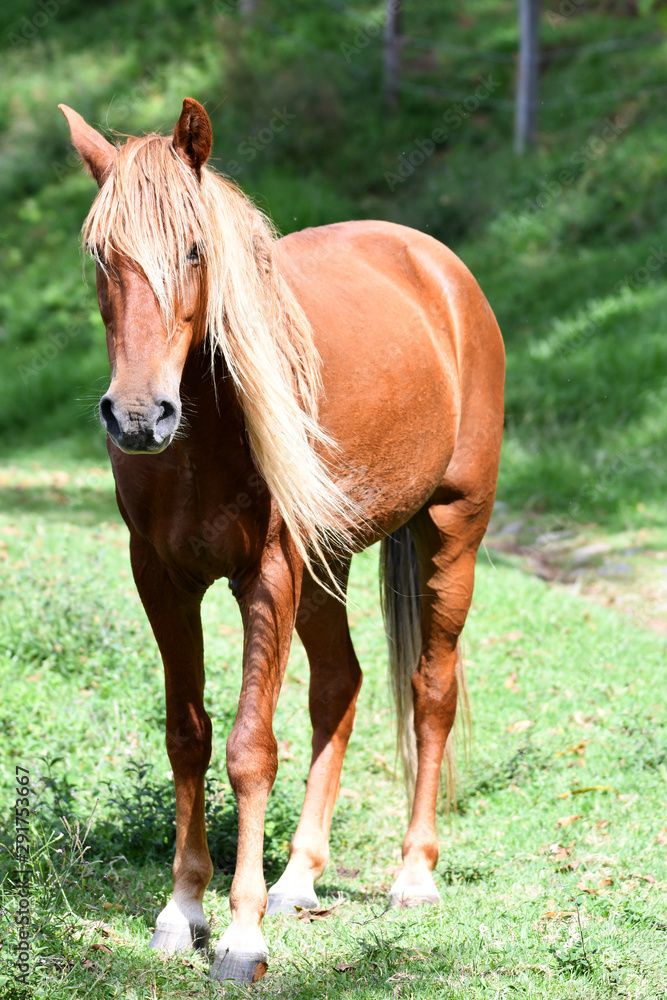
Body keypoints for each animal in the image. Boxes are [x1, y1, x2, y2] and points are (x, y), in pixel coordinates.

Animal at [59, 97, 504, 983]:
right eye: (100, 256)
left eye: (194, 250)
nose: (138, 417)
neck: (204, 436)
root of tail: (438, 267)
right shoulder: (161, 580)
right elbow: (188, 736)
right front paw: (183, 911)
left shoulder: (266, 574)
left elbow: (248, 748)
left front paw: (240, 934)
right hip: (326, 564)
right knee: (339, 686)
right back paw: (299, 876)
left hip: (450, 535)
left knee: (429, 691)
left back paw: (413, 875)